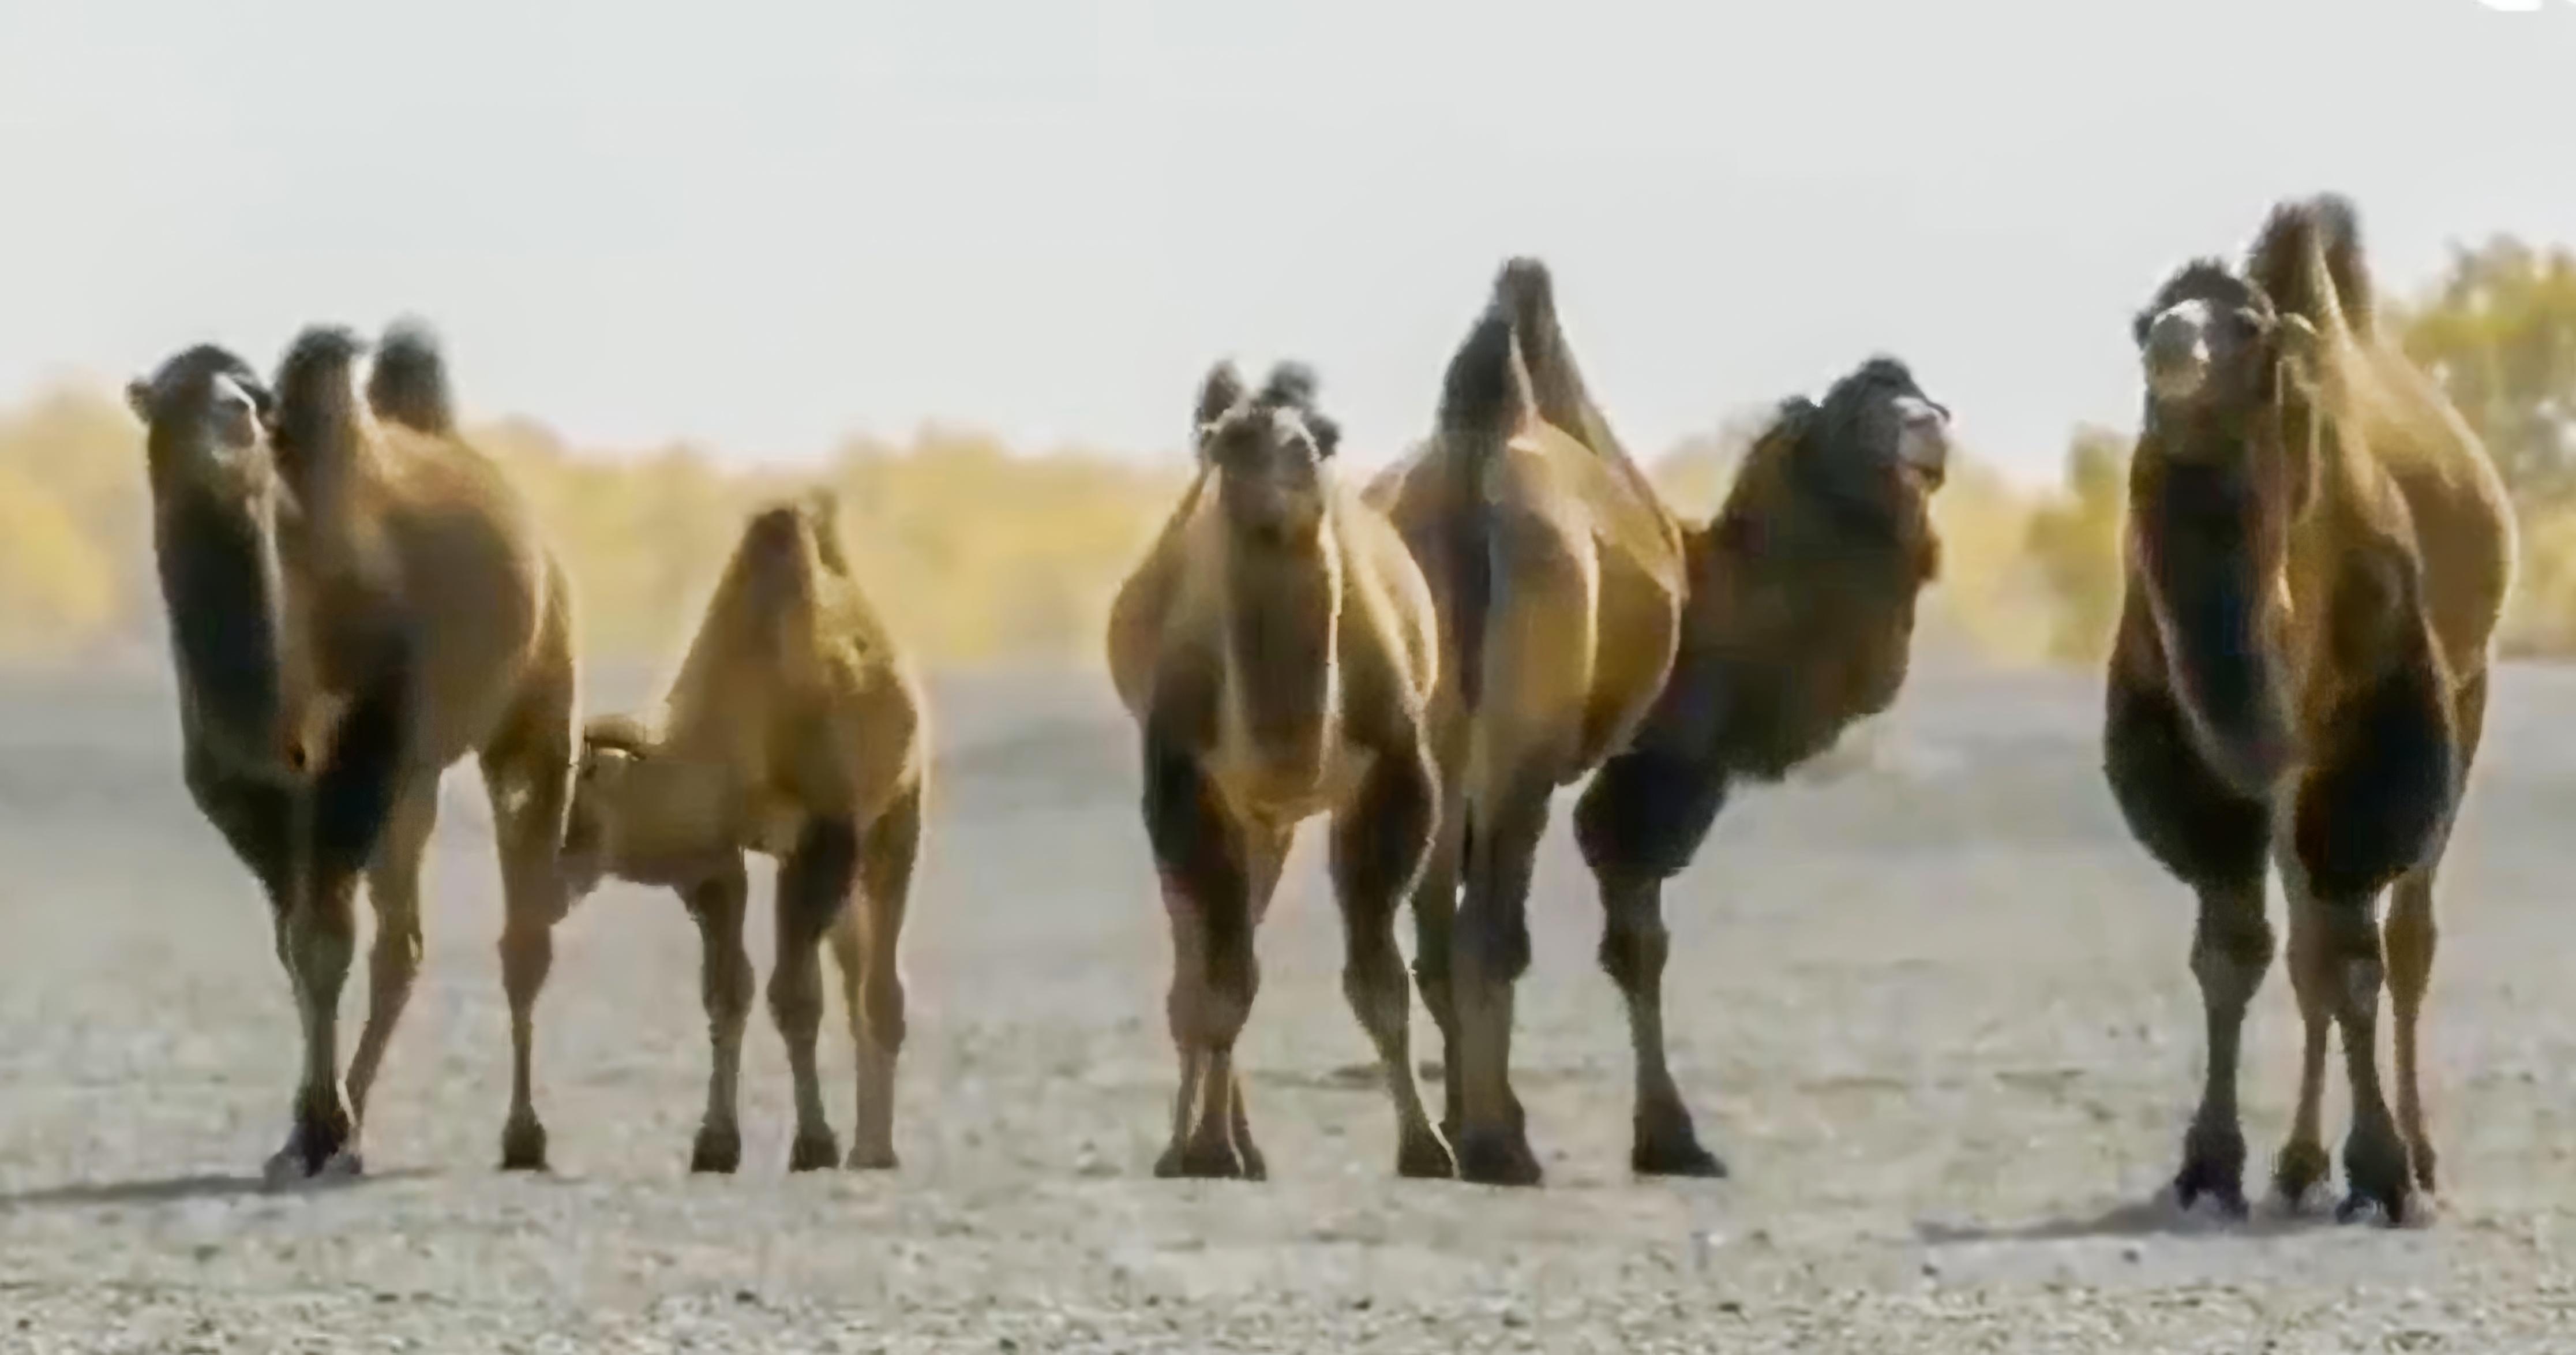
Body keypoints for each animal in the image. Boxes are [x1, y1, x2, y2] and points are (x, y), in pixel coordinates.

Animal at [124, 324, 579, 1185]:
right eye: (171, 396)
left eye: (249, 401)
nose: (230, 422)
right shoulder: (253, 796)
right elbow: (294, 945)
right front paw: (305, 1133)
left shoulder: (358, 757)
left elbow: (324, 939)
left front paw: (322, 1127)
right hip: (416, 782)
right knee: (402, 941)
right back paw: (360, 1132)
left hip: (534, 700)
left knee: (523, 927)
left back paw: (523, 1134)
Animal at [561, 492, 927, 1180]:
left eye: (577, 795)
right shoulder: (717, 861)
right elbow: (727, 992)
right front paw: (714, 1145)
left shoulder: (821, 838)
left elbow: (794, 997)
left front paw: (814, 1144)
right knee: (854, 968)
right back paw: (867, 1141)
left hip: (896, 815)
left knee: (879, 982)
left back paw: (875, 1149)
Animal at [1103, 358, 1453, 1180]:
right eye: (1231, 438)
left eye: (1326, 434)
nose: (1291, 455)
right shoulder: (1182, 782)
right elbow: (1221, 978)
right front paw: (1202, 1150)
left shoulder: (1397, 775)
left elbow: (1378, 975)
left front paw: (1428, 1145)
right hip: (1230, 812)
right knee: (1201, 959)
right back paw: (1204, 1141)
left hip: (1271, 819)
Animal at [1370, 260, 1947, 1185]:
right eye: (1857, 413)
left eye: (1919, 394)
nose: (1928, 432)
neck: (1718, 591)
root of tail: (1463, 479)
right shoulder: (1667, 760)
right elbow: (1637, 936)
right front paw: (1672, 1138)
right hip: (1526, 736)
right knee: (1489, 926)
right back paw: (1504, 1148)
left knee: (1433, 929)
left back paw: (1456, 1138)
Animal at [2102, 194, 2503, 1231]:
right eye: (2146, 322)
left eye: (2245, 329)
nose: (2174, 345)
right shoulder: (2191, 746)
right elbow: (2234, 945)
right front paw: (2211, 1167)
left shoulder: (2379, 725)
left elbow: (2358, 952)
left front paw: (2385, 1172)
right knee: (2307, 944)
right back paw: (2296, 1163)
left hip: (2466, 700)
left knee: (2404, 935)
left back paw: (2418, 1157)